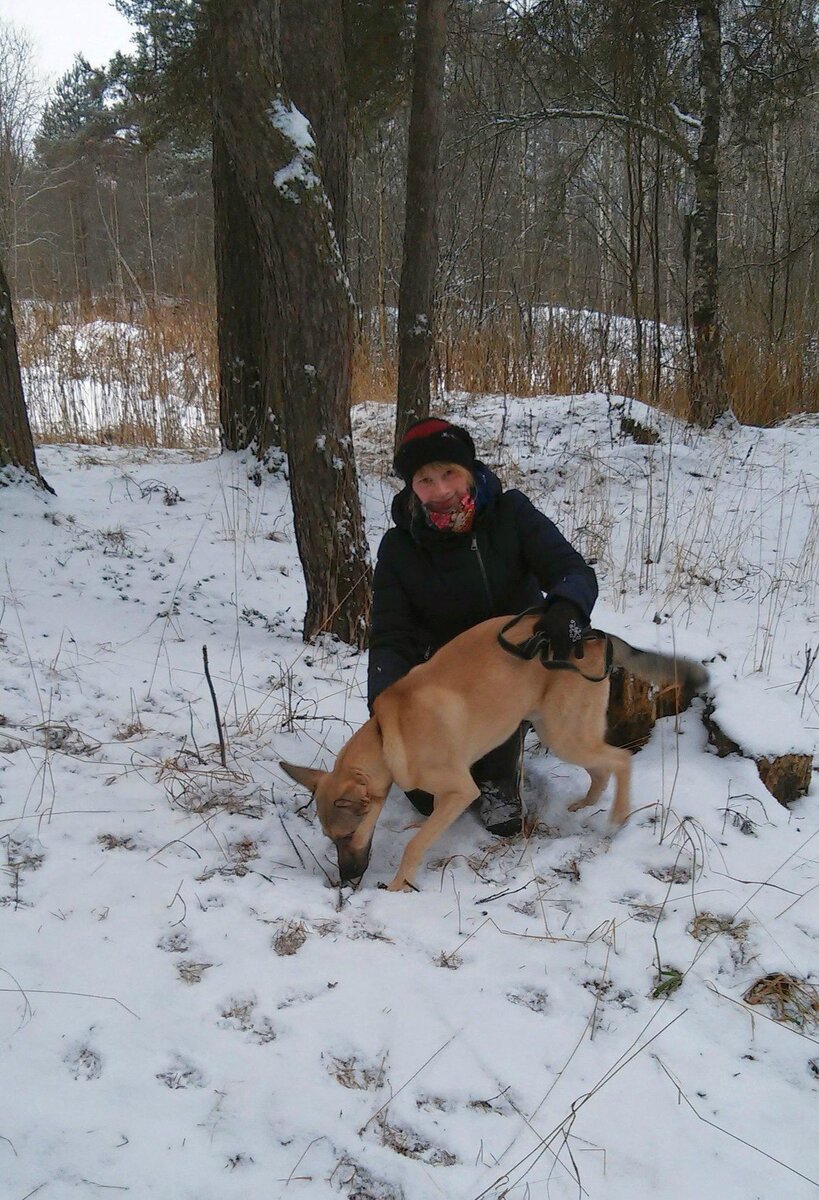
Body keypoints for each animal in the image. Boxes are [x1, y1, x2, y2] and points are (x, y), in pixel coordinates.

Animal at [278, 619, 701, 892]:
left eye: (348, 834)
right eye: (330, 837)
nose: (346, 882)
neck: (386, 735)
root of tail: (590, 637)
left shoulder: (462, 790)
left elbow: (416, 845)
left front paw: (400, 883)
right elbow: (427, 822)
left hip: (564, 734)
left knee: (620, 760)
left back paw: (617, 816)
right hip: (559, 730)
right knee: (601, 769)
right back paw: (586, 805)